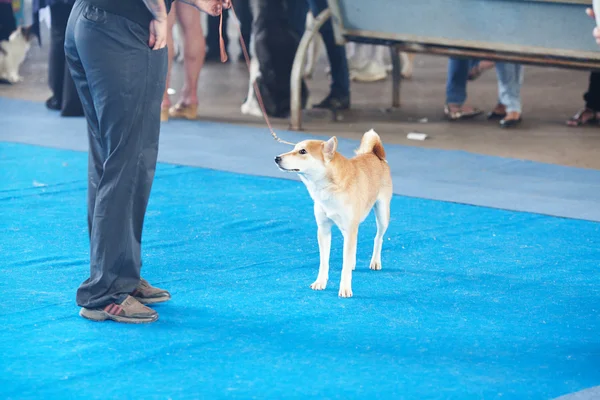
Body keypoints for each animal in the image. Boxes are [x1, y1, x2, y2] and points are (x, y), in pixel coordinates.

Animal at [276, 129, 394, 296]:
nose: (277, 158)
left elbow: (345, 265)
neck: (329, 188)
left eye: (303, 151)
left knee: (378, 238)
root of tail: (374, 154)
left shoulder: (350, 228)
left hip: (382, 215)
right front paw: (320, 282)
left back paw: (375, 261)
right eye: (294, 148)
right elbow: (324, 261)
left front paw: (345, 288)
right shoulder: (324, 229)